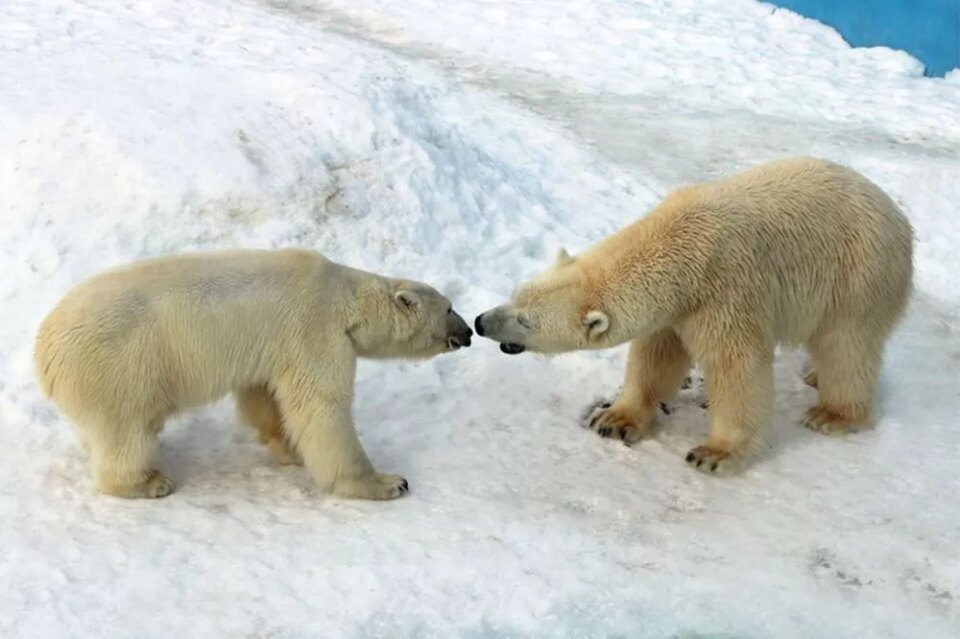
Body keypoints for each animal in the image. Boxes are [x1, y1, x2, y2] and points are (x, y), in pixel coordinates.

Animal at [34, 249, 476, 500]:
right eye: (449, 306)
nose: (469, 331)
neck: (341, 293)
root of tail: (44, 352)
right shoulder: (315, 328)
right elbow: (321, 405)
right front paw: (387, 482)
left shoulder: (276, 346)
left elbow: (264, 396)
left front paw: (290, 447)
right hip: (121, 367)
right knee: (129, 431)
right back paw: (149, 482)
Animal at [476, 158, 912, 472]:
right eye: (514, 295)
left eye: (527, 321)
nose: (481, 322)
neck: (679, 242)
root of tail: (897, 213)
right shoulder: (677, 307)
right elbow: (656, 356)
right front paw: (615, 419)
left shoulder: (726, 290)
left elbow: (736, 366)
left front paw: (714, 453)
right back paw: (814, 376)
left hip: (858, 273)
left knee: (847, 345)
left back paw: (831, 413)